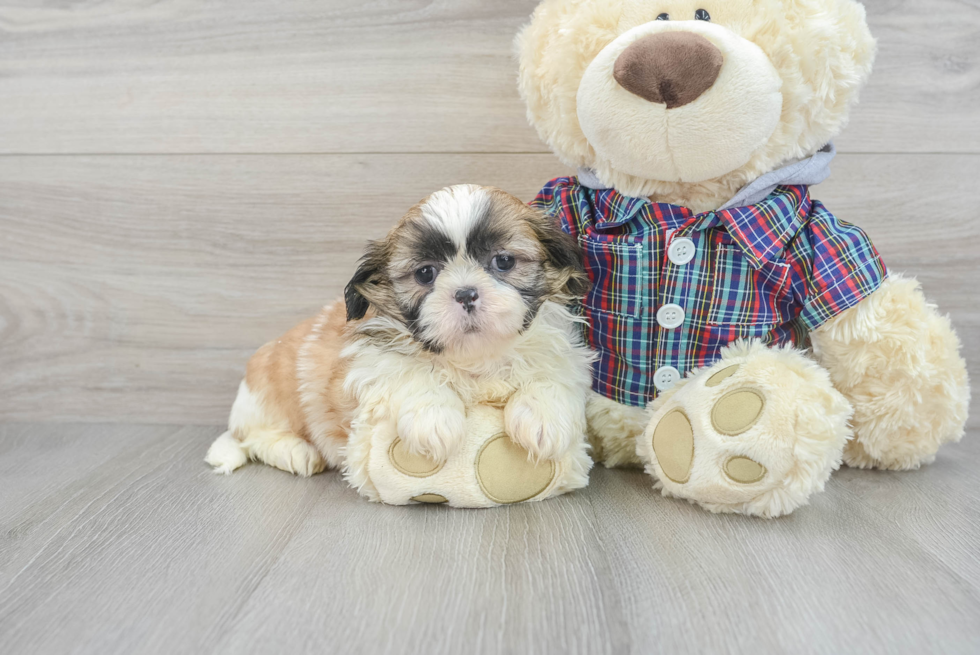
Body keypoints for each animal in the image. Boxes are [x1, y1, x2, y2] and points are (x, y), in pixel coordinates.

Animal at [203, 184, 592, 476]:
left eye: (504, 261)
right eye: (425, 273)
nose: (465, 293)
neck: (473, 357)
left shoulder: (564, 350)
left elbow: (553, 369)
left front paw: (542, 418)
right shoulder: (367, 360)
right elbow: (408, 369)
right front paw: (434, 420)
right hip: (264, 398)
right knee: (250, 437)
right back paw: (293, 450)